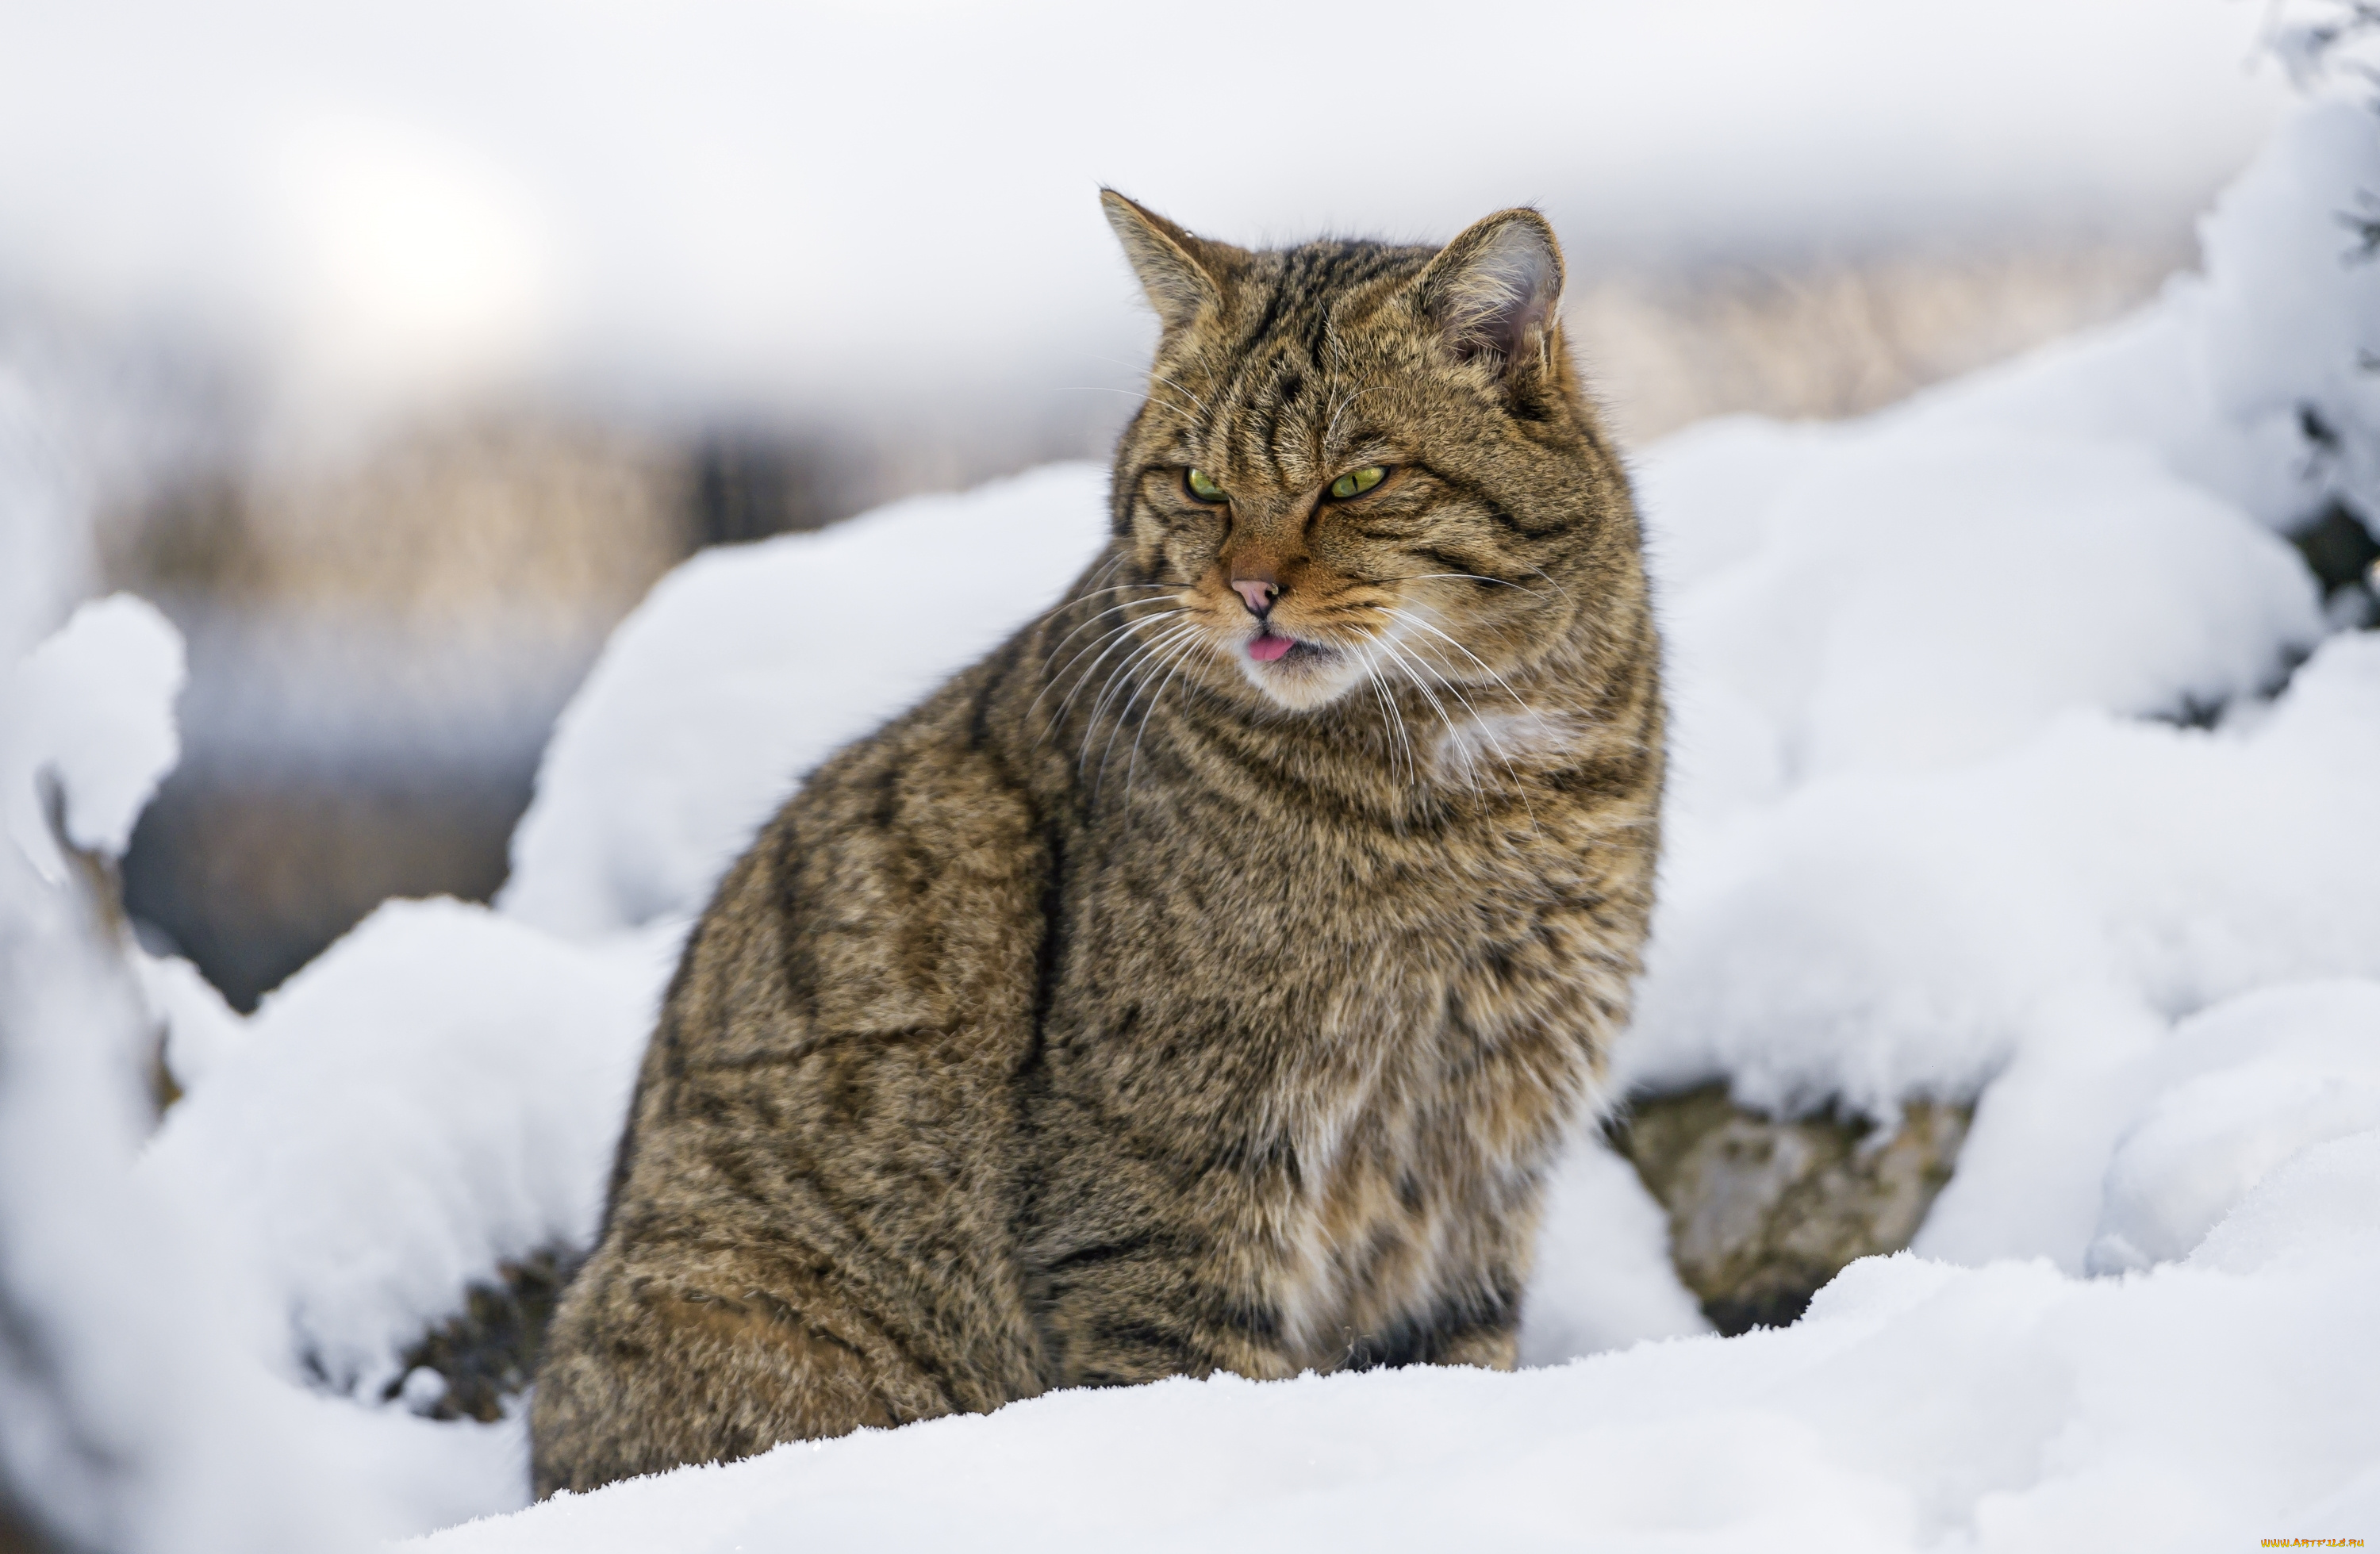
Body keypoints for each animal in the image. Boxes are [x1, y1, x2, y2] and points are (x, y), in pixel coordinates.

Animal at [531, 194, 1666, 1495]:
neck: (1472, 781)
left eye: (1359, 478)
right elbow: (1196, 1386)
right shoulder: (1165, 1178)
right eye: (1202, 483)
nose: (1251, 588)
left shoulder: (1486, 1159)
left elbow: (1461, 1357)